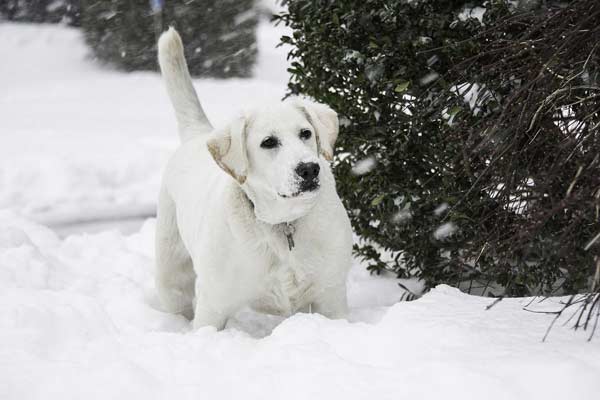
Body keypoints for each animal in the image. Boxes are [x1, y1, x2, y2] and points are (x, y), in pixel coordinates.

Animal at [156, 27, 352, 328]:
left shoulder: (331, 298)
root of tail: (199, 134)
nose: (309, 169)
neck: (282, 224)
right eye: (268, 142)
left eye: (306, 133)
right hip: (171, 270)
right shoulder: (213, 305)